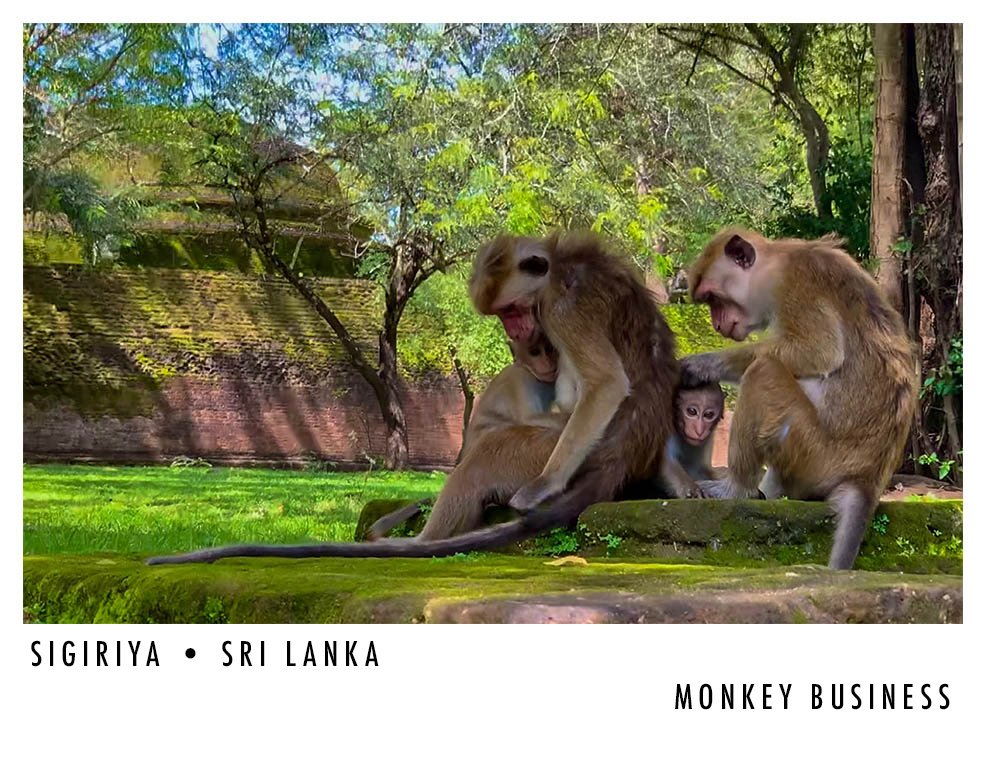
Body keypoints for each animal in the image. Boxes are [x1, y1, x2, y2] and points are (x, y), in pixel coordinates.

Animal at [146, 231, 680, 565]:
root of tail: (622, 455)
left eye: (512, 310)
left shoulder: (561, 309)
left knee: (494, 449)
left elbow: (606, 384)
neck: (559, 267)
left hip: (538, 452)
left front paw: (545, 485)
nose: (516, 335)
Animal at [679, 228, 918, 569]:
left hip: (813, 454)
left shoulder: (794, 284)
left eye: (714, 298)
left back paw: (736, 488)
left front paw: (703, 364)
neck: (776, 261)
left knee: (763, 371)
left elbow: (819, 351)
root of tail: (866, 479)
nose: (717, 325)